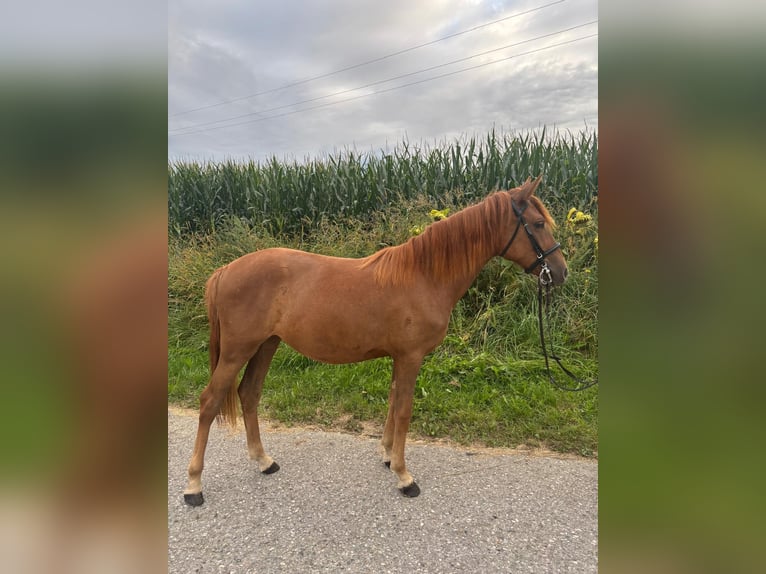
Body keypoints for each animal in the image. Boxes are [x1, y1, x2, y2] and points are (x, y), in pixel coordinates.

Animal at [183, 176, 568, 505]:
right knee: (209, 402)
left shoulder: (399, 357)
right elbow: (405, 410)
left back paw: (264, 461)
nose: (560, 273)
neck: (424, 275)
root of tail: (225, 271)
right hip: (237, 351)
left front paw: (387, 455)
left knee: (249, 394)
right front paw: (404, 476)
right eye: (537, 224)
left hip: (266, 345)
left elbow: (393, 402)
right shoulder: (411, 356)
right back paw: (194, 486)